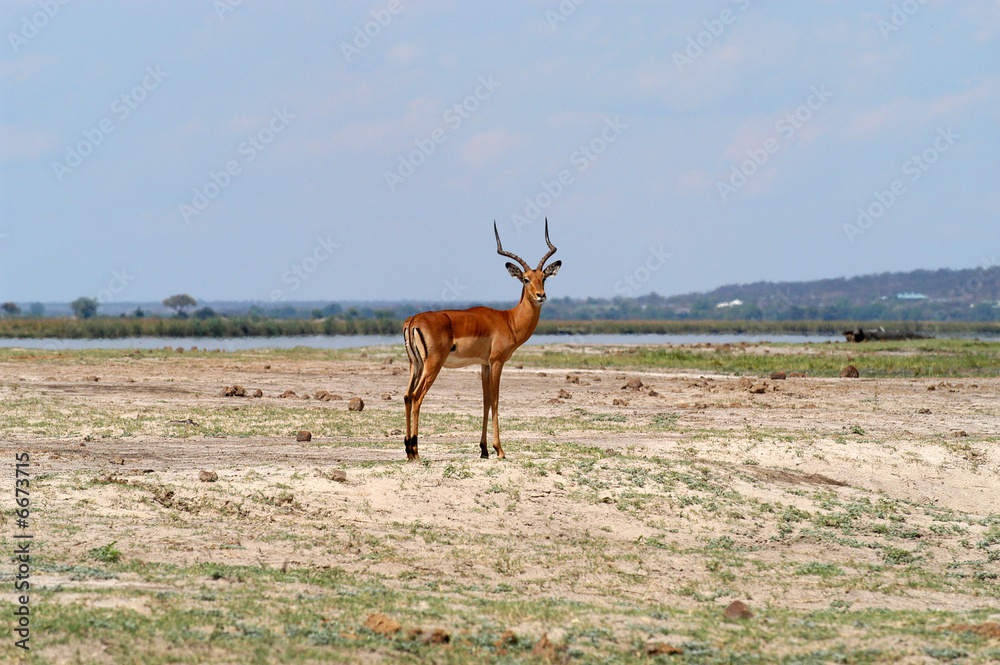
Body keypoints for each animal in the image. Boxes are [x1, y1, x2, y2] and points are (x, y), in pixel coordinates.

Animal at [402, 220, 561, 461]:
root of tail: (414, 320)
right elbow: (495, 400)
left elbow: (485, 401)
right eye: (525, 279)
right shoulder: (496, 362)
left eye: (543, 278)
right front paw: (499, 449)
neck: (508, 320)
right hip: (432, 365)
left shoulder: (484, 365)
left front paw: (484, 449)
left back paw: (408, 451)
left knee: (407, 396)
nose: (540, 295)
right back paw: (416, 452)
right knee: (417, 397)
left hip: (415, 365)